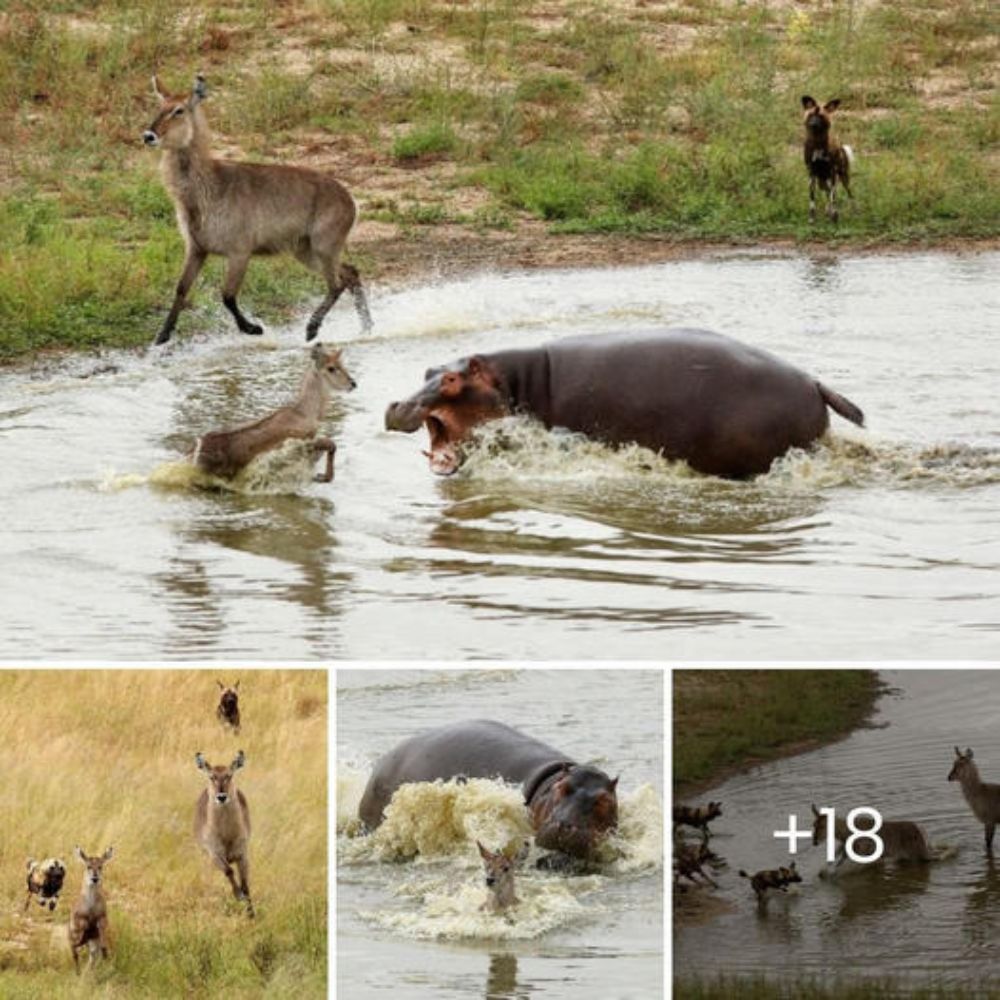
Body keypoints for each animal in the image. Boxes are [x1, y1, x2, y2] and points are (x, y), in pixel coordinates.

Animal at [143, 75, 374, 348]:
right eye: (159, 107)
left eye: (178, 110)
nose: (148, 135)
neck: (207, 187)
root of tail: (350, 198)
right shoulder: (197, 248)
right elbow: (180, 288)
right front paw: (161, 337)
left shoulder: (240, 251)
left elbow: (227, 295)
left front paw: (253, 329)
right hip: (305, 250)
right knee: (350, 273)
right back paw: (366, 327)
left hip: (323, 246)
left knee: (336, 284)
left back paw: (312, 329)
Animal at [193, 752, 252, 916]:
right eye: (212, 776)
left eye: (229, 775)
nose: (221, 797)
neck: (227, 835)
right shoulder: (215, 854)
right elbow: (228, 871)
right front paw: (238, 895)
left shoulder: (242, 854)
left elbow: (246, 885)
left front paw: (251, 913)